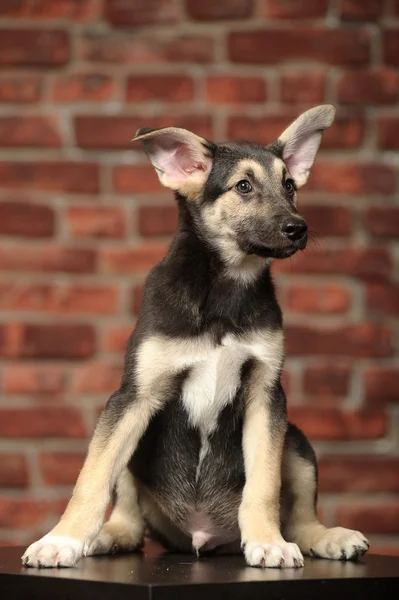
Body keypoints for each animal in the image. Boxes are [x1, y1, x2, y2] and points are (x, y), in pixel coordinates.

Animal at [23, 105, 370, 568]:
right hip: (139, 440)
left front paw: (268, 541)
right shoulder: (133, 395)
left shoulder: (266, 396)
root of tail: (201, 538)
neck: (223, 289)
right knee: (130, 516)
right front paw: (62, 539)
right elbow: (93, 478)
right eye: (243, 186)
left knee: (299, 516)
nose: (298, 228)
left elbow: (264, 484)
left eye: (290, 186)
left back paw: (326, 537)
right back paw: (106, 535)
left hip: (296, 440)